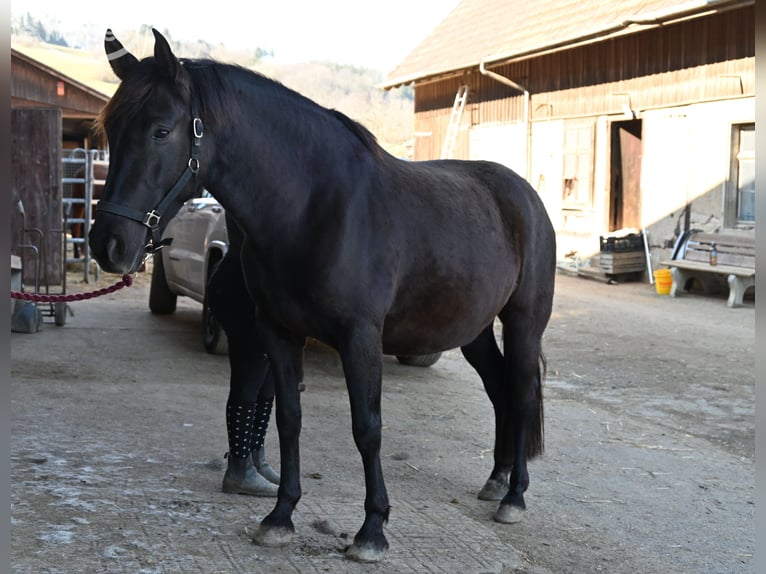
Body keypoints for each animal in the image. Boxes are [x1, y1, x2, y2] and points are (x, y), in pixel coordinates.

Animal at [88, 28, 556, 563]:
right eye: (110, 129)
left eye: (161, 131)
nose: (107, 244)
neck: (316, 206)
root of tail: (525, 194)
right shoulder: (277, 332)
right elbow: (288, 418)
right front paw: (280, 516)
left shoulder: (360, 338)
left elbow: (367, 428)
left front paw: (372, 529)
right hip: (472, 329)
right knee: (500, 390)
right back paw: (496, 480)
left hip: (523, 322)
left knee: (521, 393)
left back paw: (514, 497)